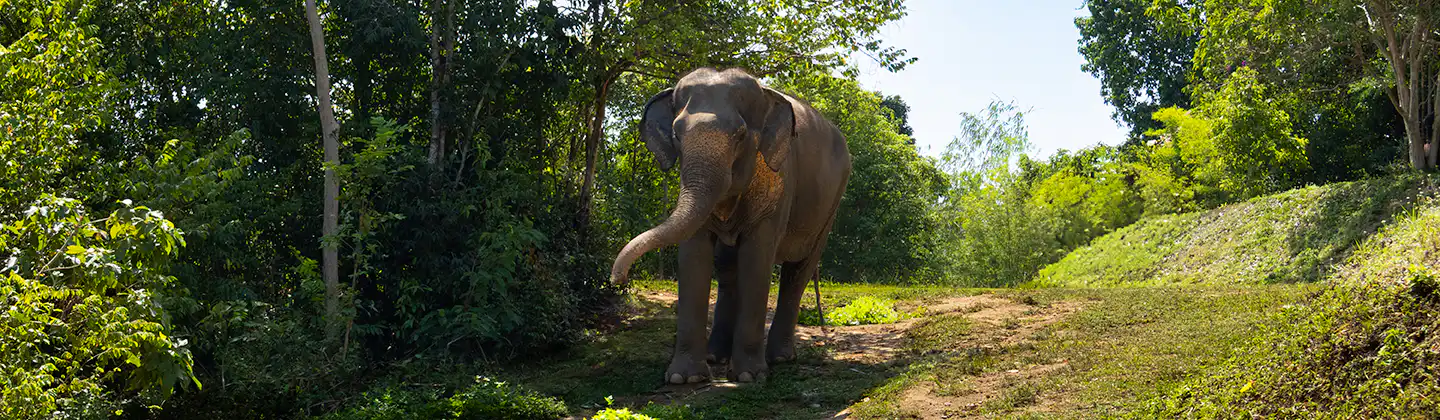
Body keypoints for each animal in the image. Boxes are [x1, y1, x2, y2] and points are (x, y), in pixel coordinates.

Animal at [609, 67, 852, 384]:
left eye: (740, 135)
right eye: (676, 133)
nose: (618, 279)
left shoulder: (780, 182)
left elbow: (757, 259)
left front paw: (749, 376)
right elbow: (694, 255)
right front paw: (684, 378)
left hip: (831, 204)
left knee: (798, 271)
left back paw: (780, 358)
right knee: (727, 268)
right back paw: (716, 356)